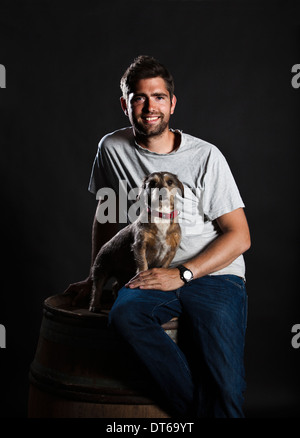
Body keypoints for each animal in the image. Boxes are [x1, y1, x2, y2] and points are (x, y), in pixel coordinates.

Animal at [88, 171, 184, 312]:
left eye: (170, 182)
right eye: (152, 183)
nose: (162, 191)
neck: (160, 214)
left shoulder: (172, 250)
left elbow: (165, 265)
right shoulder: (140, 245)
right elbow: (143, 264)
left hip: (122, 275)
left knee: (115, 286)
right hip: (101, 268)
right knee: (97, 288)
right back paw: (95, 305)